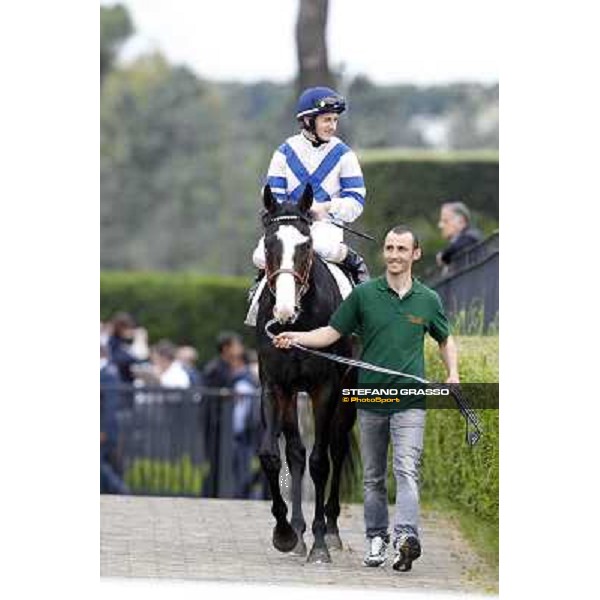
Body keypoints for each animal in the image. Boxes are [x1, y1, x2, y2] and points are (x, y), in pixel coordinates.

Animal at [254, 184, 356, 564]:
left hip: (348, 392)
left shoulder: (324, 388)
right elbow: (273, 456)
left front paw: (321, 543)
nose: (284, 310)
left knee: (337, 449)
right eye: (269, 243)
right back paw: (298, 532)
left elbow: (320, 461)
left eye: (306, 245)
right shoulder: (275, 385)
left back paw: (332, 530)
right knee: (295, 453)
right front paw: (284, 532)